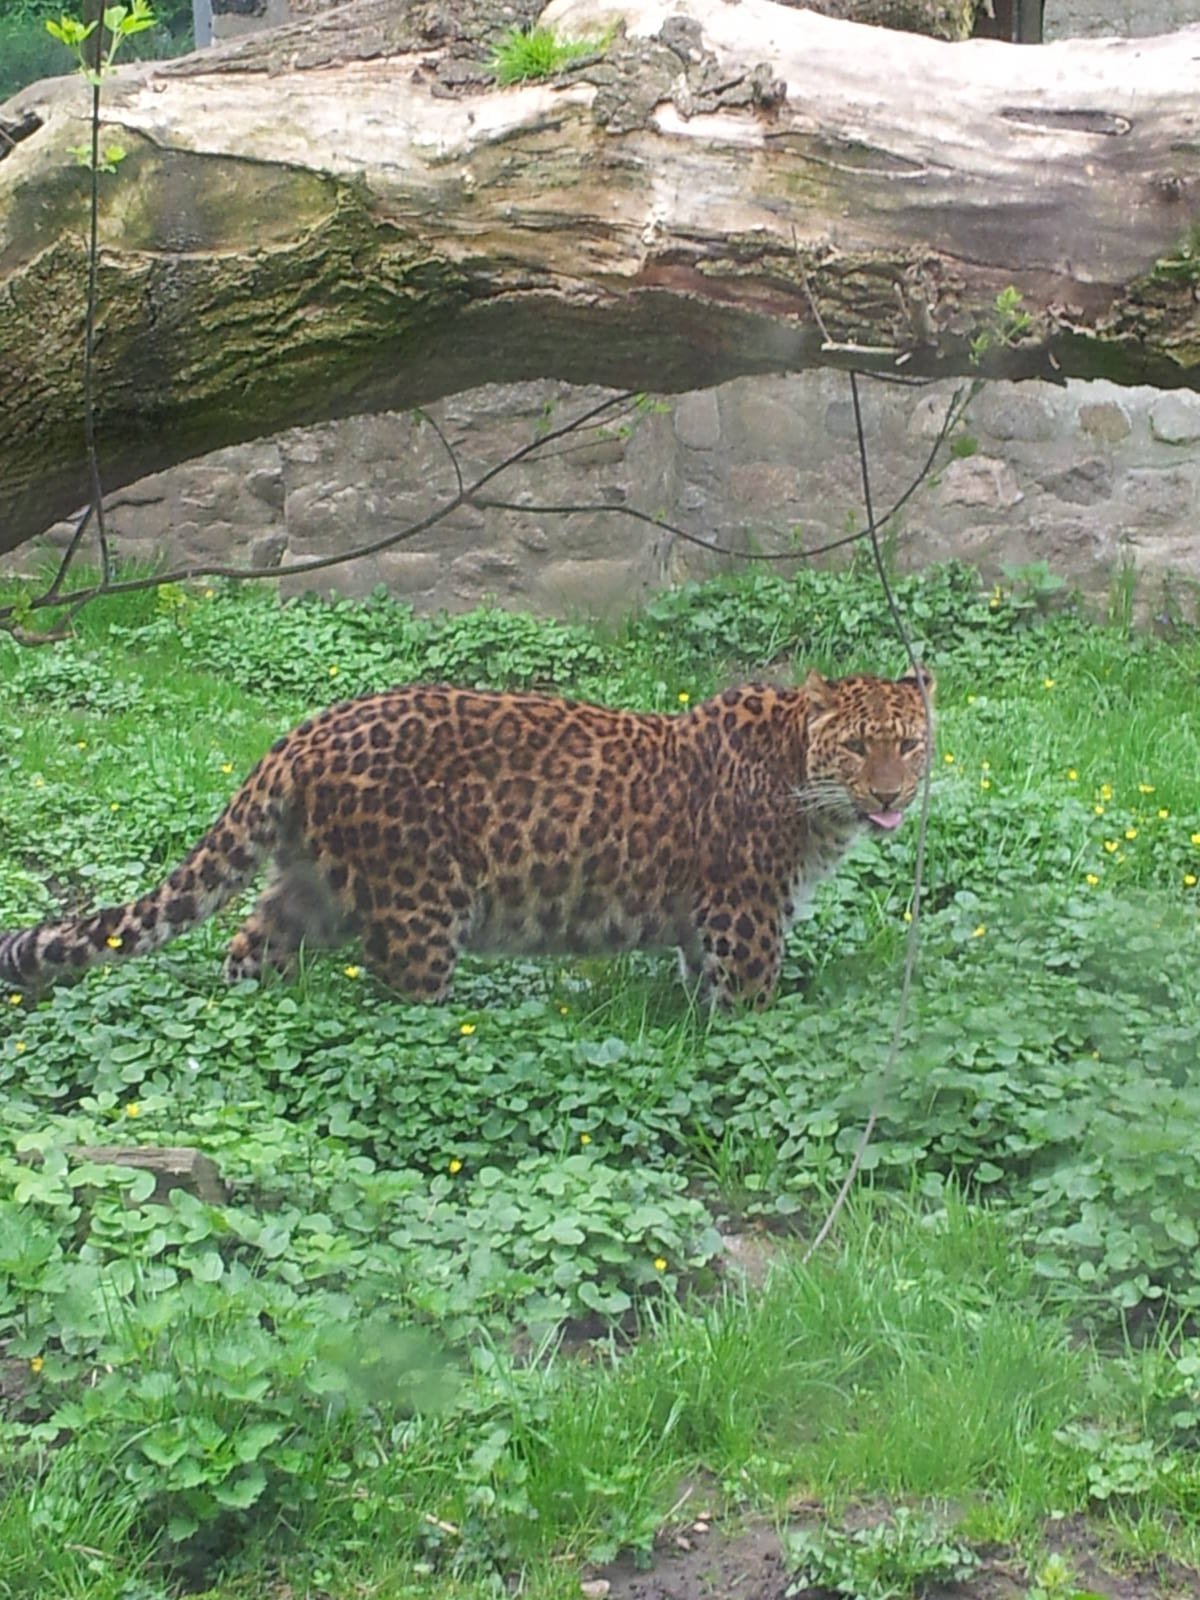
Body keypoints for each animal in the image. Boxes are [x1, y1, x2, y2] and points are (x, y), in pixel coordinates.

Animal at [0, 666, 933, 1009]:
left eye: (911, 742)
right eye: (859, 747)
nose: (891, 796)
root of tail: (307, 732)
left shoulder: (712, 927)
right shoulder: (745, 921)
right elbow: (747, 1008)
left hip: (310, 885)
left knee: (250, 941)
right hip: (420, 904)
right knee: (402, 994)